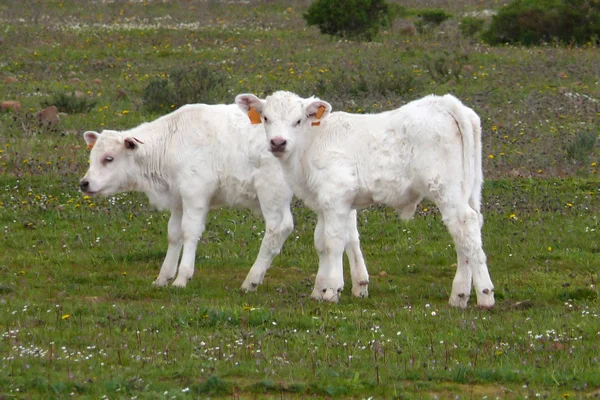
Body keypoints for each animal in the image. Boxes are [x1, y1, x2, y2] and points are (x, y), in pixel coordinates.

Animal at [237, 91, 494, 310]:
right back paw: (460, 295)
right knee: (466, 232)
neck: (311, 143)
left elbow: (333, 242)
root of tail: (444, 102)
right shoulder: (323, 202)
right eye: (266, 118)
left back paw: (485, 295)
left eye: (298, 120)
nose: (278, 142)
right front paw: (319, 290)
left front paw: (332, 290)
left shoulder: (336, 196)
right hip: (469, 189)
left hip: (445, 188)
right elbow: (322, 242)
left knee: (464, 225)